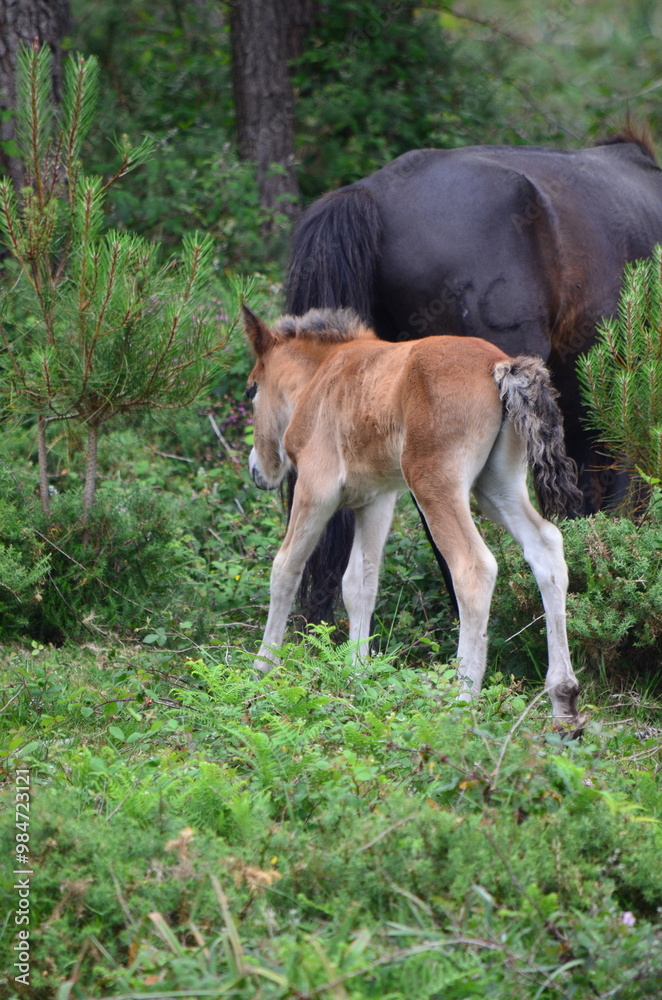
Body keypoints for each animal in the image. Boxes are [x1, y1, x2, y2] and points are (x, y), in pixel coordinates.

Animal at [243, 305, 583, 726]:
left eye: (251, 390)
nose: (257, 470)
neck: (320, 377)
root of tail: (501, 365)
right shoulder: (376, 499)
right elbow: (360, 583)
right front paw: (356, 676)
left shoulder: (315, 488)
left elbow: (285, 568)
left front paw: (262, 671)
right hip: (496, 488)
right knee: (546, 547)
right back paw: (563, 701)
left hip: (433, 483)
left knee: (473, 568)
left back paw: (462, 703)